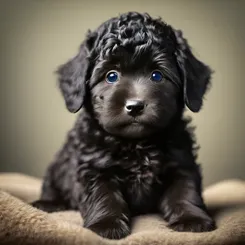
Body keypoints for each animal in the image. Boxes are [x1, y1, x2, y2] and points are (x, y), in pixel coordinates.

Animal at [32, 11, 214, 239]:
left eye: (157, 75)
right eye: (111, 76)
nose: (134, 106)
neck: (137, 144)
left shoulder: (181, 163)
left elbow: (184, 191)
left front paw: (191, 219)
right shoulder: (94, 168)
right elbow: (104, 196)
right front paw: (106, 223)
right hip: (56, 170)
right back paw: (48, 204)